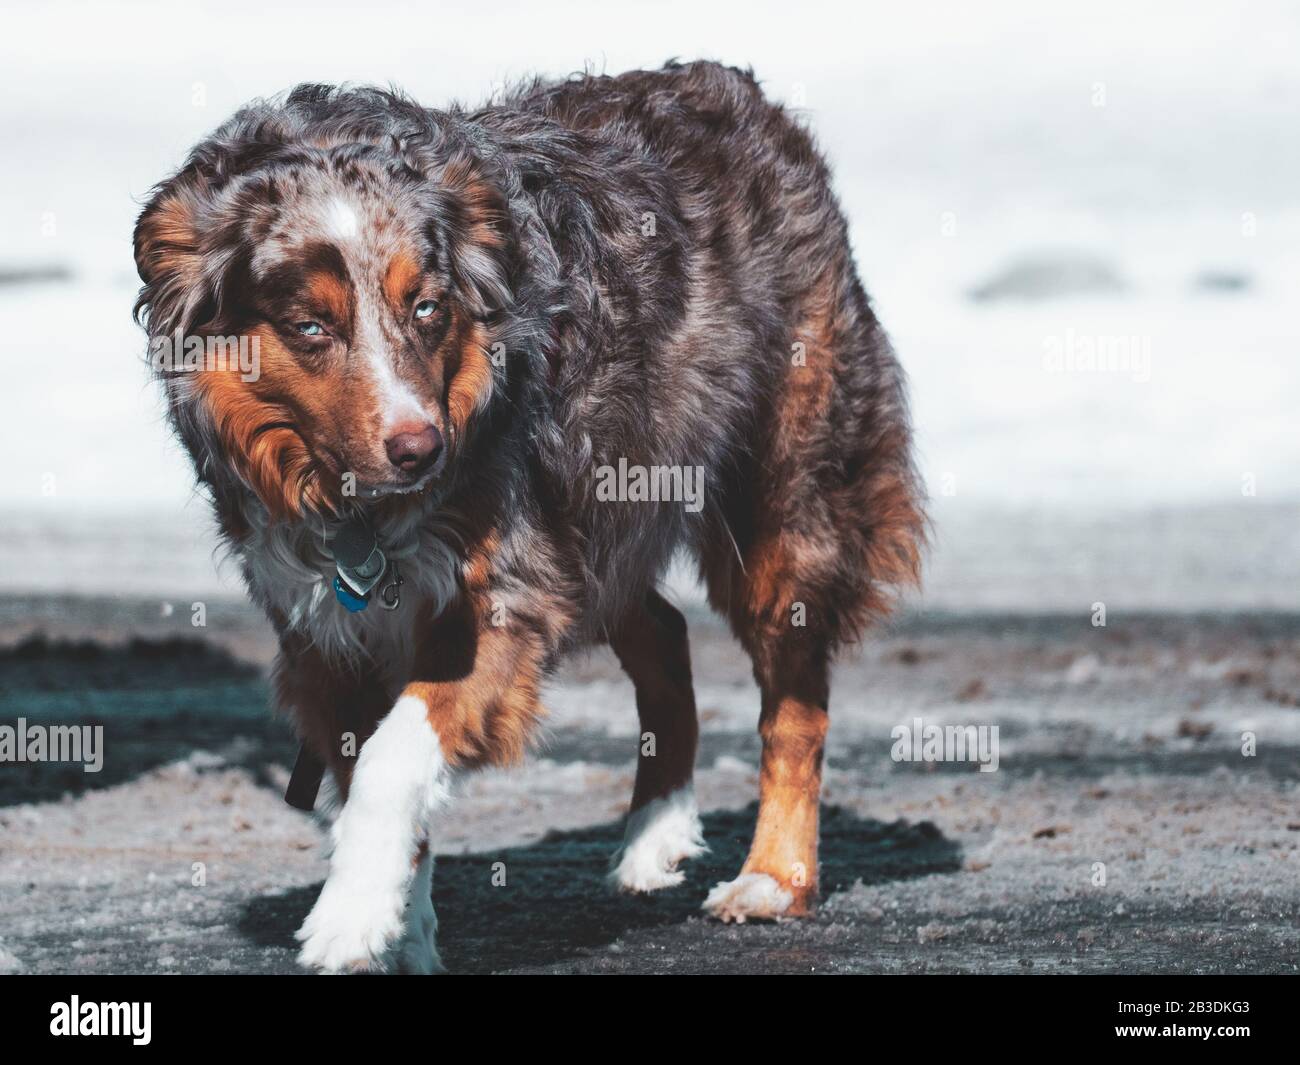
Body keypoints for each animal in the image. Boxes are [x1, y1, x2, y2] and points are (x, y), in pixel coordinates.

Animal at [131, 58, 925, 972]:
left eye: (428, 308)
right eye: (308, 327)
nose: (422, 448)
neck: (361, 511)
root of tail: (743, 90)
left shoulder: (504, 596)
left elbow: (393, 761)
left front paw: (349, 916)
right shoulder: (325, 634)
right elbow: (376, 780)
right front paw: (401, 926)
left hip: (779, 493)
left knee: (794, 698)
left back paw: (772, 877)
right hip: (597, 516)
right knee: (663, 633)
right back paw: (654, 835)